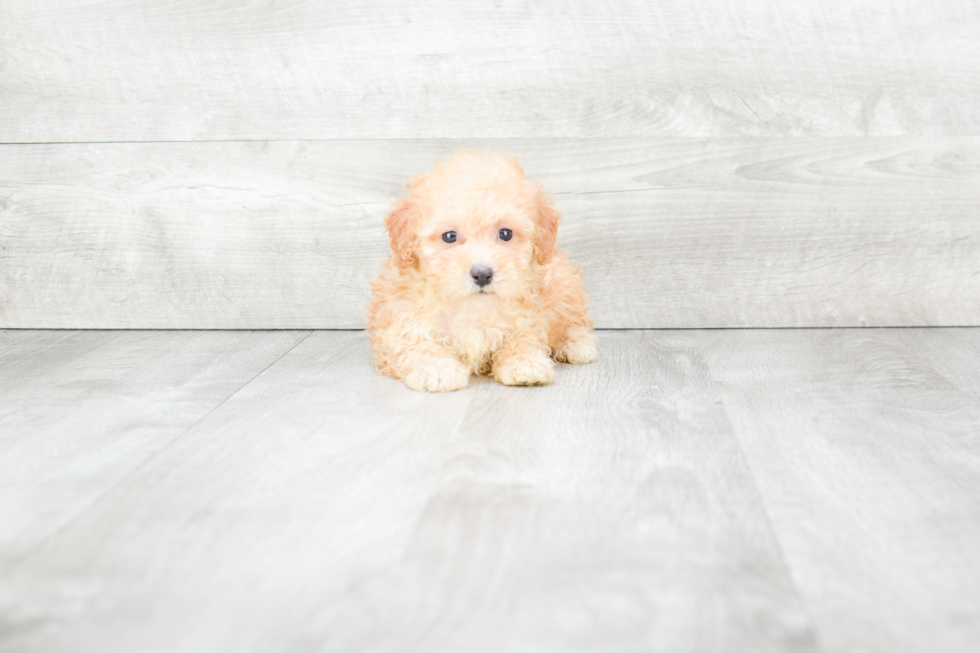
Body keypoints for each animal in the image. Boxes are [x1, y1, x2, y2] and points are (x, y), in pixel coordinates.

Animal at [368, 150, 596, 390]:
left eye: (505, 233)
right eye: (450, 236)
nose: (482, 275)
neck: (473, 306)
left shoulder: (526, 318)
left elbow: (522, 340)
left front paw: (525, 364)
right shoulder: (405, 323)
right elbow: (420, 346)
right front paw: (438, 370)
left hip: (564, 282)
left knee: (573, 320)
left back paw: (575, 343)